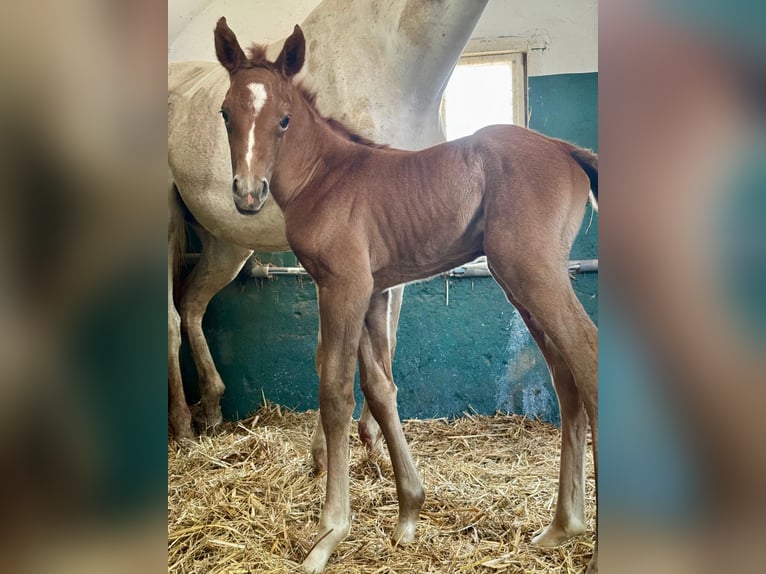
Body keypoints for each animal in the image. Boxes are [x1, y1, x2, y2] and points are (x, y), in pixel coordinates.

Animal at [168, 0, 490, 472]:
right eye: (224, 114)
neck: (391, 59)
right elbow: (331, 353)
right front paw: (324, 453)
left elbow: (386, 344)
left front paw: (374, 440)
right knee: (171, 320)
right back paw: (182, 425)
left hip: (225, 242)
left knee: (191, 305)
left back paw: (209, 409)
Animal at [214, 18, 599, 574]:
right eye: (226, 113)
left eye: (284, 119)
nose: (247, 194)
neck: (323, 177)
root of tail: (565, 149)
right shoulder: (370, 291)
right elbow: (380, 388)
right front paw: (409, 514)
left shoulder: (343, 285)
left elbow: (335, 392)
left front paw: (329, 534)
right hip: (523, 284)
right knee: (566, 380)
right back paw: (561, 528)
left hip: (533, 274)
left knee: (588, 360)